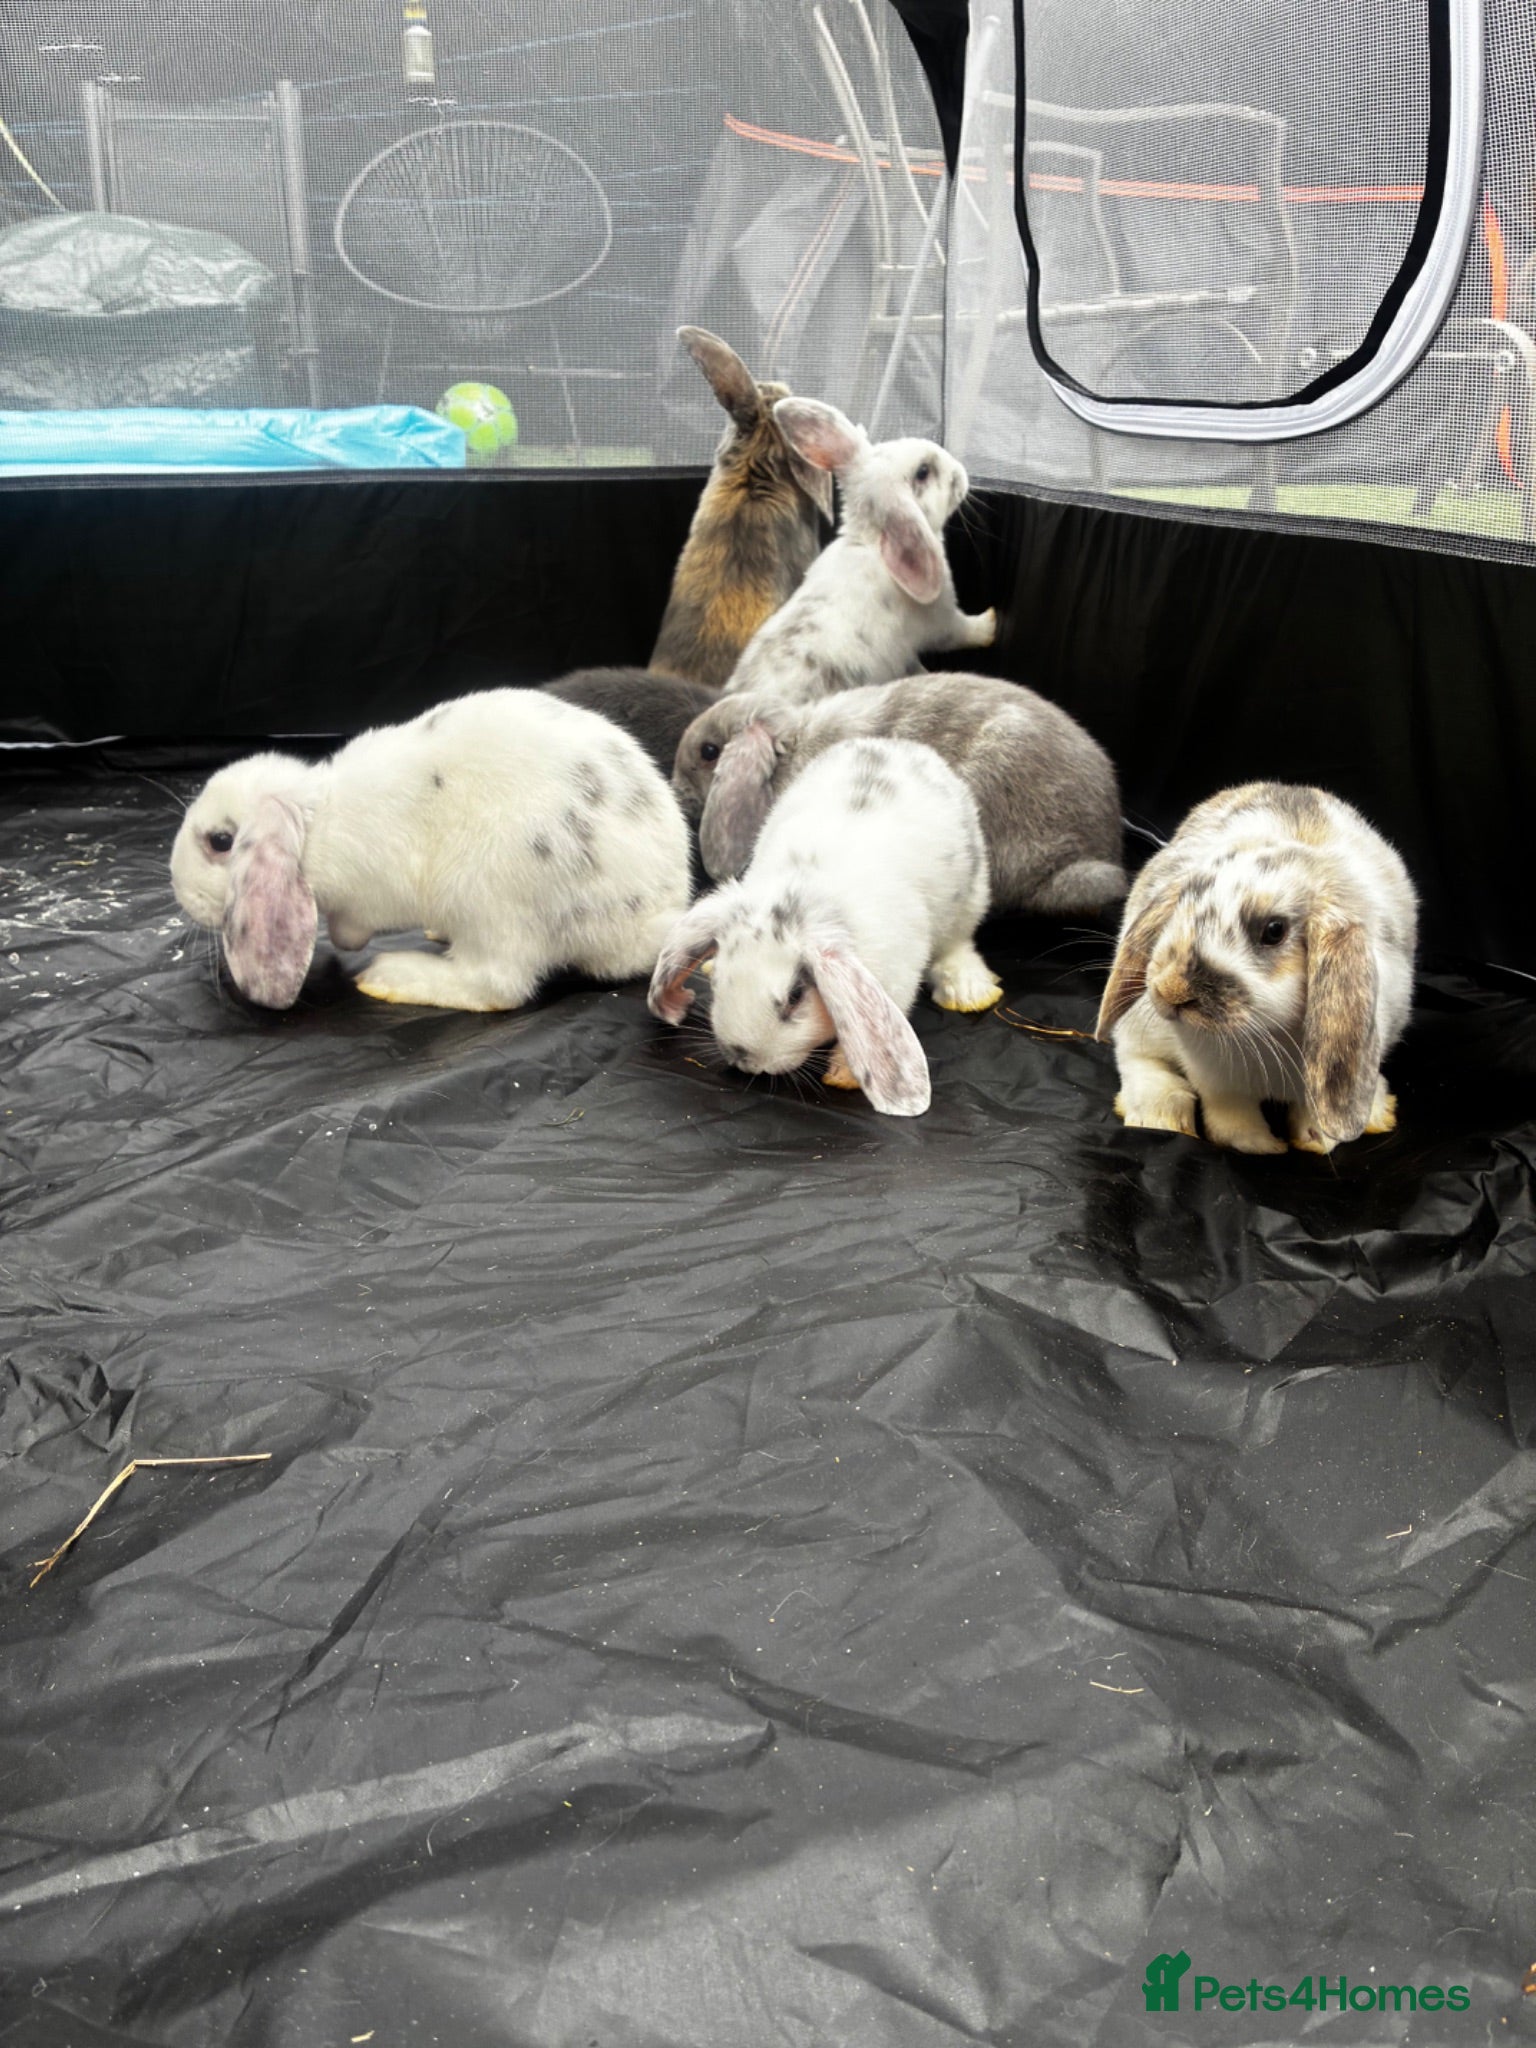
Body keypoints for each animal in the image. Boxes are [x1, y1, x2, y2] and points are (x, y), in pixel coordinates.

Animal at [170, 688, 691, 1013]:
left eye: (220, 842)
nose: (176, 888)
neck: (319, 822)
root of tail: (646, 919)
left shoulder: (368, 896)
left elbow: (351, 927)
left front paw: (349, 943)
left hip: (486, 893)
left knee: (498, 985)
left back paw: (392, 976)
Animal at [648, 736, 1001, 1116]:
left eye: (795, 997)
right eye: (719, 983)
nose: (742, 1057)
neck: (807, 895)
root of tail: (897, 745)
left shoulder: (896, 976)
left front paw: (843, 1073)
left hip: (970, 898)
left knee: (958, 943)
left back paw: (968, 991)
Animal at [717, 397, 996, 706]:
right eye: (923, 472)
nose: (960, 471)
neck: (871, 543)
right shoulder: (942, 618)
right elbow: (963, 631)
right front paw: (991, 622)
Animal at [1095, 782, 1418, 1155]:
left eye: (1274, 931)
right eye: (1180, 904)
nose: (1170, 991)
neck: (1267, 1033)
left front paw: (1316, 1141)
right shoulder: (1215, 1080)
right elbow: (1231, 1119)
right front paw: (1264, 1146)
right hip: (1138, 1027)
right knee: (1134, 1059)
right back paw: (1159, 1114)